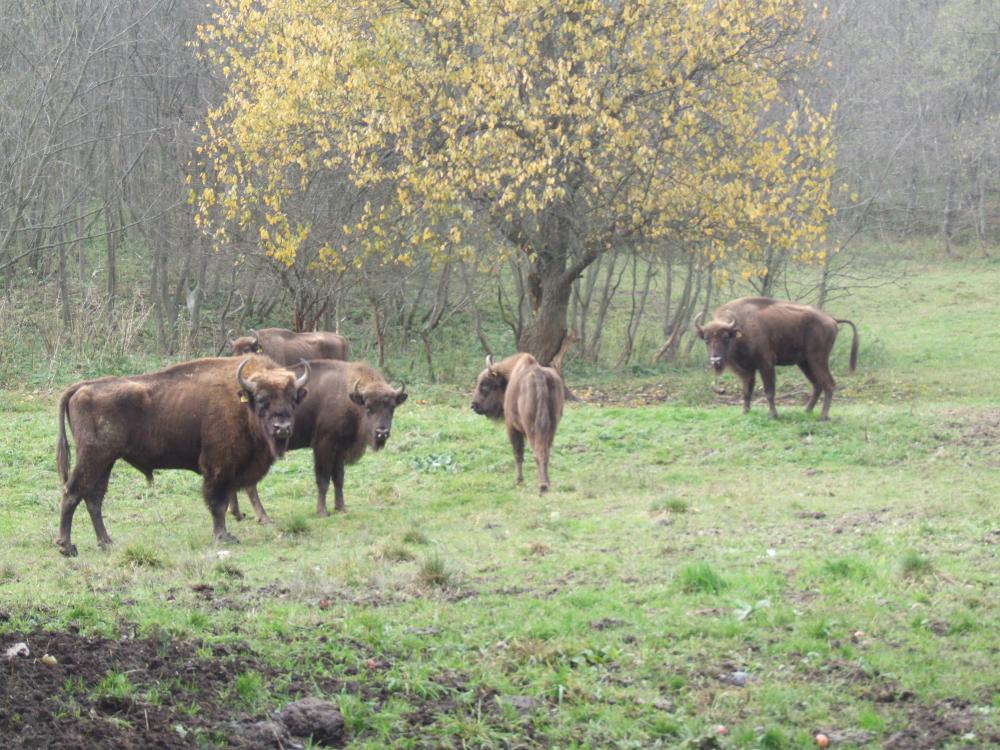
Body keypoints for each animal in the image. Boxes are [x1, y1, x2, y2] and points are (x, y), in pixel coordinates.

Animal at [55, 356, 308, 556]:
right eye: (263, 400)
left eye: (293, 399)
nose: (282, 428)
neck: (242, 401)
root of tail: (83, 387)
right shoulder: (218, 469)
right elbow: (217, 503)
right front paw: (224, 536)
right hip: (93, 457)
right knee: (72, 492)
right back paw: (67, 547)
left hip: (106, 461)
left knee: (93, 497)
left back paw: (106, 542)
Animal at [229, 358, 406, 524]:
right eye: (368, 408)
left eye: (392, 408)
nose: (382, 433)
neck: (348, 396)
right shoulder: (324, 446)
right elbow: (323, 480)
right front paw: (322, 512)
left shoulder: (339, 450)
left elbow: (339, 478)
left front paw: (341, 508)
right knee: (250, 484)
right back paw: (263, 517)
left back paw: (238, 514)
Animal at [468, 356, 564, 496]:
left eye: (485, 385)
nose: (474, 405)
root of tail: (538, 375)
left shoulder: (511, 427)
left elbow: (518, 454)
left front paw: (518, 481)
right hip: (552, 427)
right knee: (545, 452)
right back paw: (547, 483)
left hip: (531, 428)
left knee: (537, 452)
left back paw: (542, 486)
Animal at [696, 296, 860, 420]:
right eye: (706, 340)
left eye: (725, 337)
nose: (715, 360)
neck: (739, 330)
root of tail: (831, 319)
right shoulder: (748, 370)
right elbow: (747, 391)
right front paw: (745, 412)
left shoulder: (766, 365)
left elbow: (769, 391)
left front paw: (773, 415)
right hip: (804, 363)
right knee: (817, 384)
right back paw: (806, 411)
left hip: (818, 359)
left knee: (829, 384)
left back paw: (823, 416)